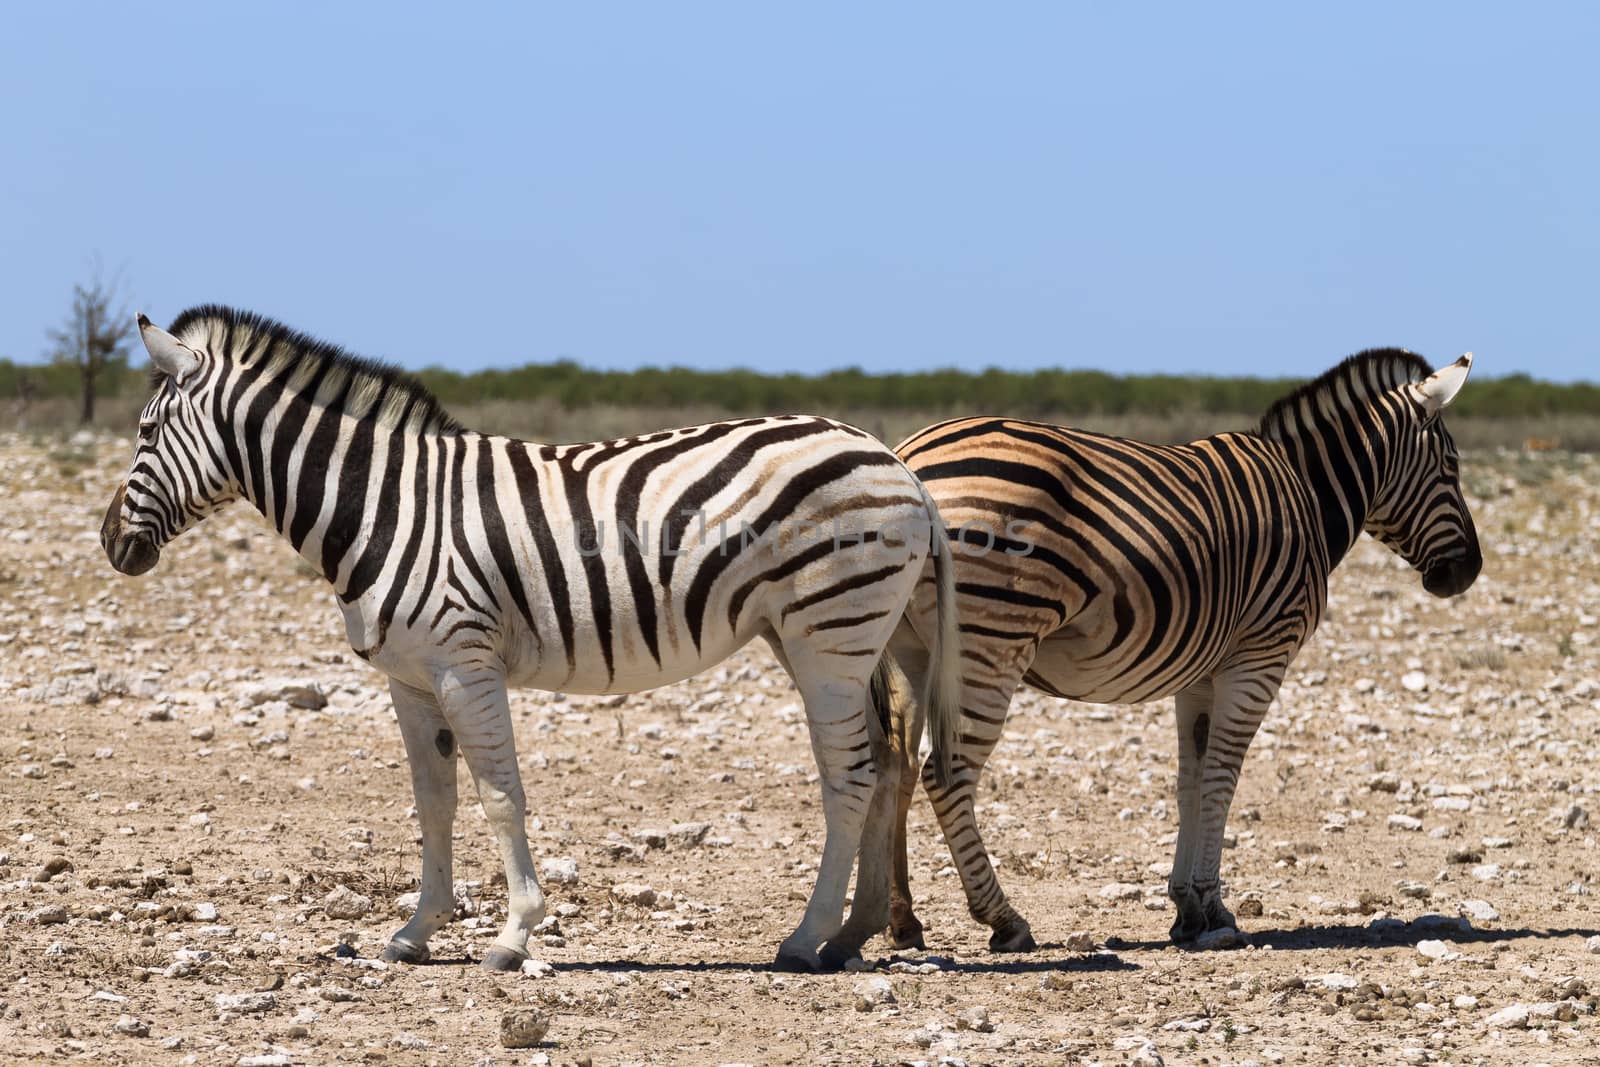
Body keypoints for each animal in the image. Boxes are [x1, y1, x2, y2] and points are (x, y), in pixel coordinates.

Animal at [103, 307, 960, 979]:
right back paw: (852, 935)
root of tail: (896, 462)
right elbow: (435, 800)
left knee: (849, 775)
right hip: (827, 634)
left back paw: (806, 937)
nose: (111, 543)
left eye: (144, 431)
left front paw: (514, 935)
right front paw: (415, 931)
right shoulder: (410, 678)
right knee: (886, 760)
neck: (383, 505)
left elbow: (499, 796)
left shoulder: (464, 663)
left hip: (828, 636)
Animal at [870, 348, 1478, 953]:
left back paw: (903, 920)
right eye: (1451, 466)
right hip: (991, 640)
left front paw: (1187, 908)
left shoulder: (1201, 672)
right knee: (946, 774)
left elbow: (1192, 780)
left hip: (910, 648)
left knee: (898, 763)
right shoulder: (1259, 656)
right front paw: (1212, 907)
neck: (1307, 495)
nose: (1468, 572)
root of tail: (909, 458)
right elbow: (1222, 778)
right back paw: (1003, 918)